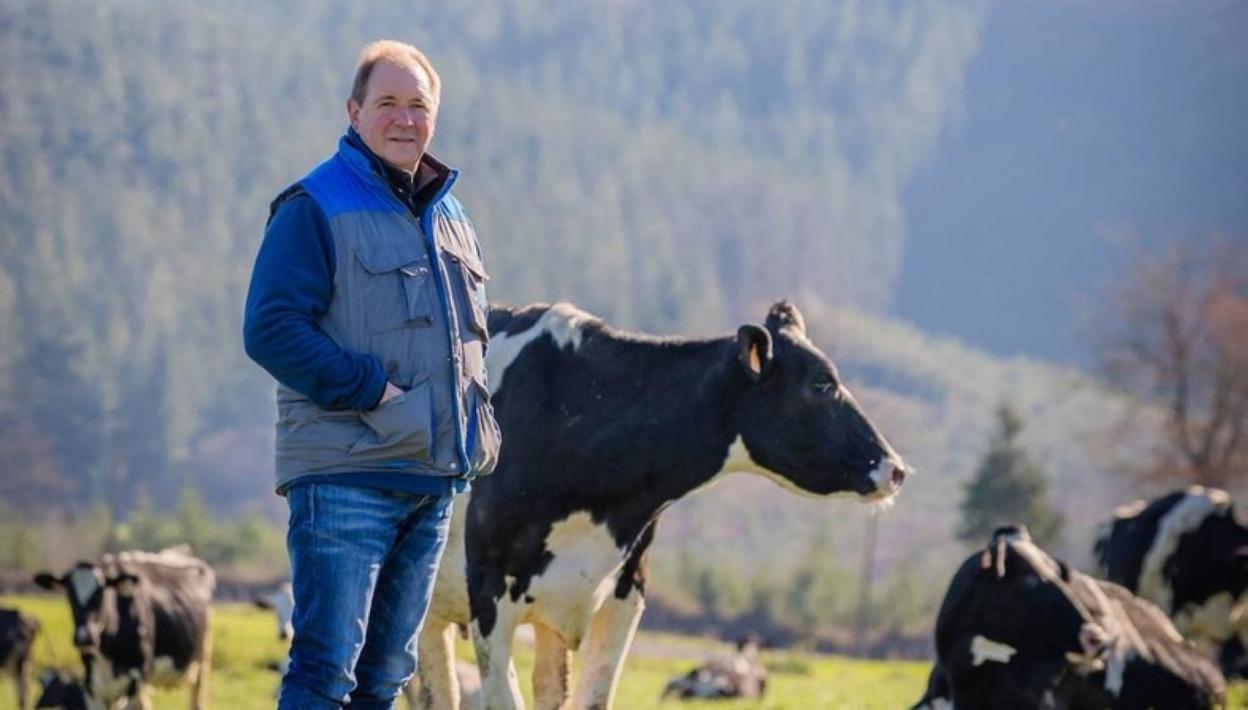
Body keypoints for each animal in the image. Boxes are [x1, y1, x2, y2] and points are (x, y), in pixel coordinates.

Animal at [32, 546, 217, 703]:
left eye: (101, 592)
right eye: (69, 594)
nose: (85, 637)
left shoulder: (136, 682)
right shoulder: (93, 689)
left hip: (202, 662)